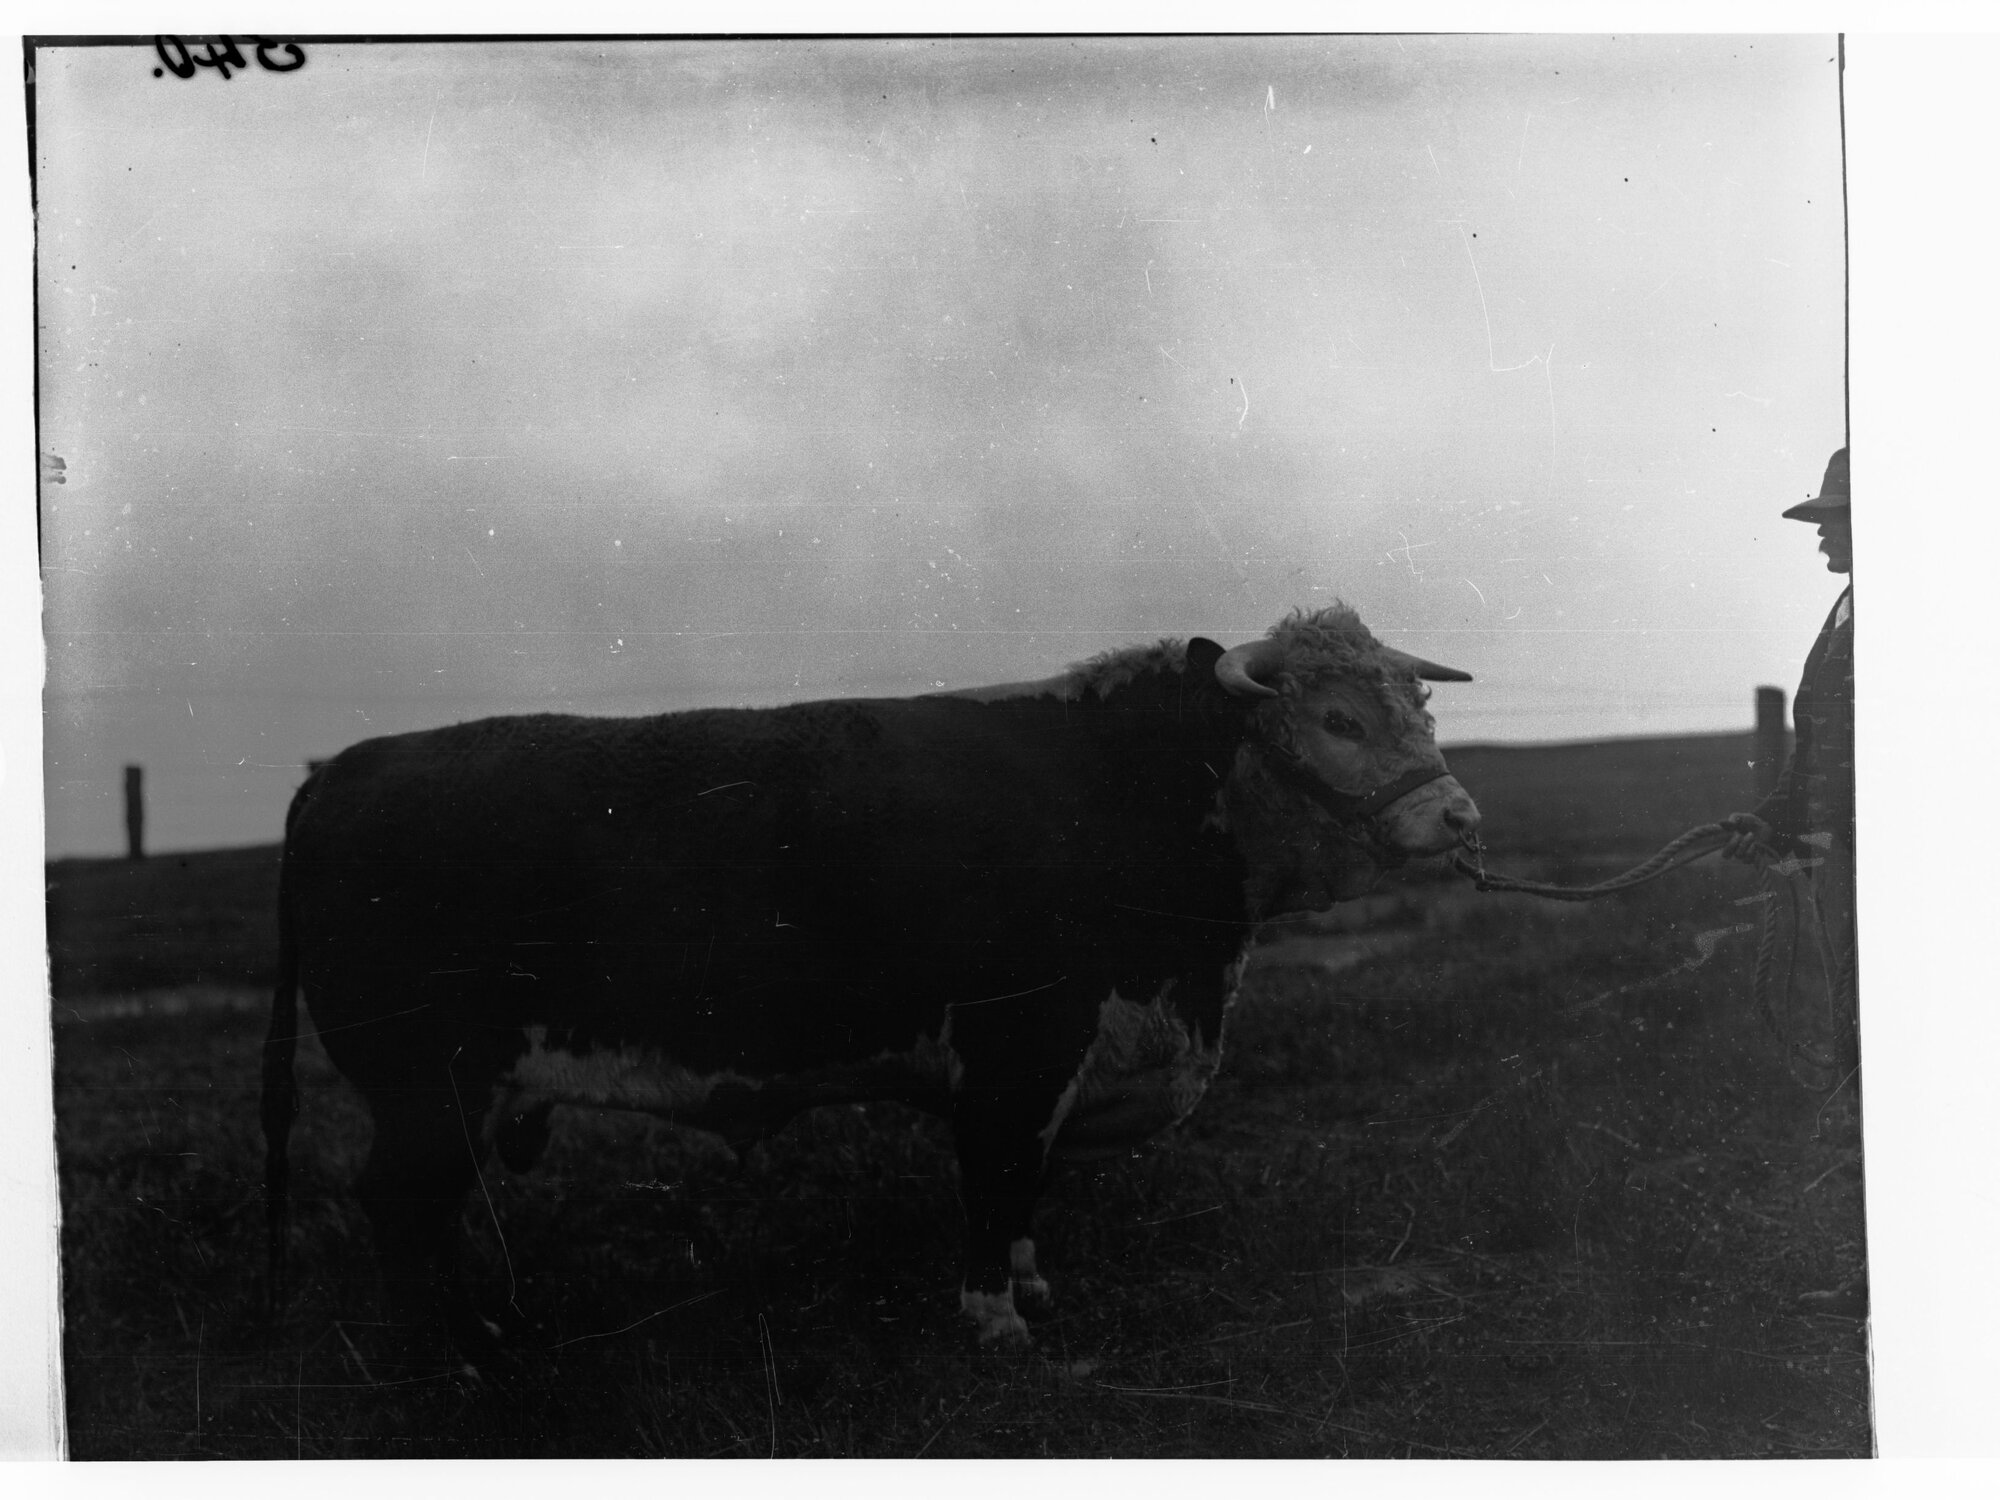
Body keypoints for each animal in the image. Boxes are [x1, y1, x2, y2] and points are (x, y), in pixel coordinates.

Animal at [261, 603, 1480, 1361]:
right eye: (1335, 717)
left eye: (1419, 711)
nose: (1460, 816)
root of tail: (343, 768)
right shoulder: (1015, 1051)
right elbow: (995, 1181)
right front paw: (995, 1320)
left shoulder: (1057, 1066)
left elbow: (1027, 1190)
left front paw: (1030, 1286)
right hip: (428, 1085)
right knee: (400, 1209)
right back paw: (461, 1353)